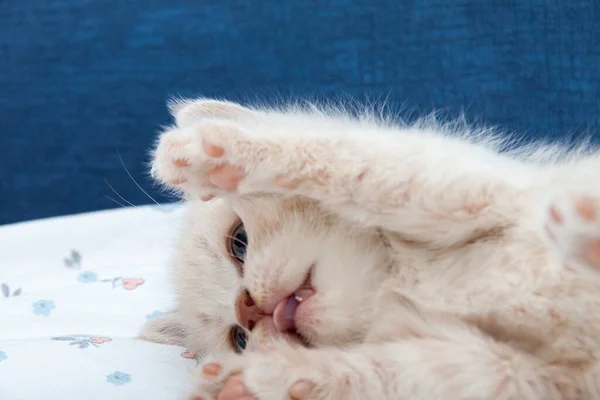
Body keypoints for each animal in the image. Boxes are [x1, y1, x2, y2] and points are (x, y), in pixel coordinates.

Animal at [139, 97, 600, 400]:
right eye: (238, 338)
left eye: (239, 242)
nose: (247, 307)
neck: (394, 280)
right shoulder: (529, 377)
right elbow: (409, 372)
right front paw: (249, 381)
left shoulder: (477, 190)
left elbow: (370, 170)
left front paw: (218, 157)